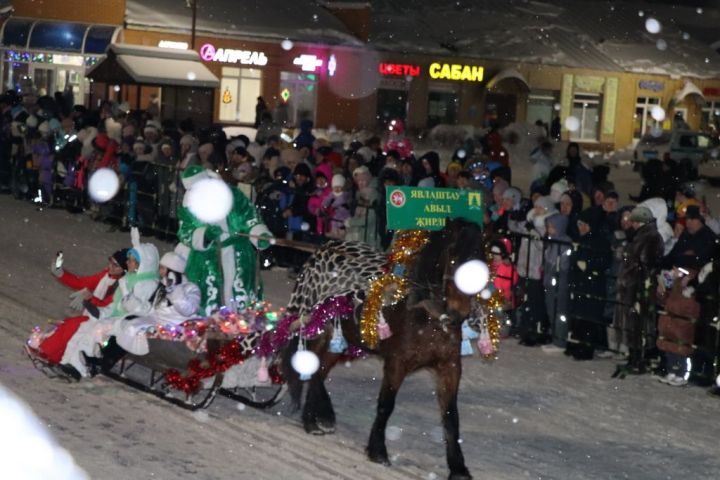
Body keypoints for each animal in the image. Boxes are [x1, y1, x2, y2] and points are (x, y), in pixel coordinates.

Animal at [282, 219, 484, 478]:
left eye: (481, 259)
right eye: (452, 257)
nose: (459, 314)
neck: (425, 314)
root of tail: (323, 249)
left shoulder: (449, 367)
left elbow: (451, 417)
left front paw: (458, 467)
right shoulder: (396, 363)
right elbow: (386, 406)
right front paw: (378, 450)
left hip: (340, 342)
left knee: (320, 369)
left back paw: (311, 422)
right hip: (319, 331)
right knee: (312, 368)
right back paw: (325, 416)